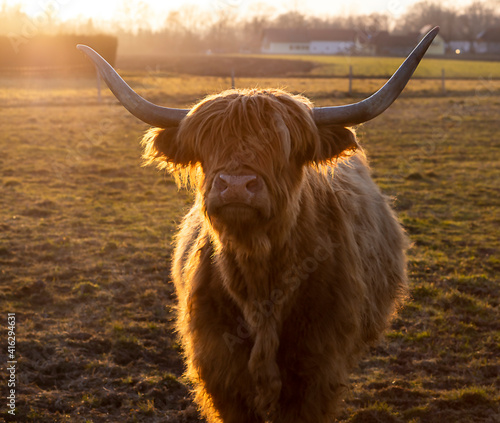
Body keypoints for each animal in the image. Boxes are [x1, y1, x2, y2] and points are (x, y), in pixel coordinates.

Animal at [77, 27, 438, 423]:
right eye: (206, 146)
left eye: (285, 146)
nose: (236, 185)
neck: (259, 279)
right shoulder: (218, 370)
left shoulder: (317, 371)